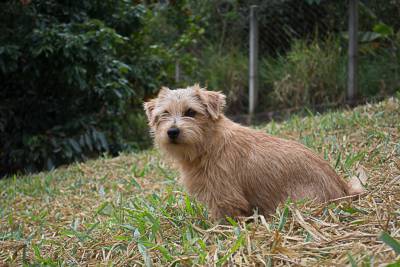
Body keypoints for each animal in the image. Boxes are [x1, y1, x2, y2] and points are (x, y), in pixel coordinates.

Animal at [144, 85, 362, 220]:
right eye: (164, 113)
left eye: (190, 112)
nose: (172, 131)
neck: (210, 144)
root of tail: (344, 190)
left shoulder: (226, 198)